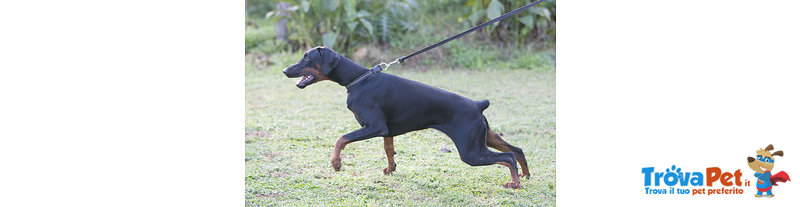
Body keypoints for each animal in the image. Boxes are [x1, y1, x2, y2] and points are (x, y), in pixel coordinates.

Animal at [282, 46, 532, 188]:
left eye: (306, 58)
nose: (284, 70)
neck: (358, 80)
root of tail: (478, 105)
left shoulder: (375, 126)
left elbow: (341, 138)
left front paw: (336, 163)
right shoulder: (386, 129)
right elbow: (388, 149)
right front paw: (390, 169)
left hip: (470, 151)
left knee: (508, 156)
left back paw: (515, 183)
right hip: (484, 137)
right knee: (517, 150)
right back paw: (525, 175)